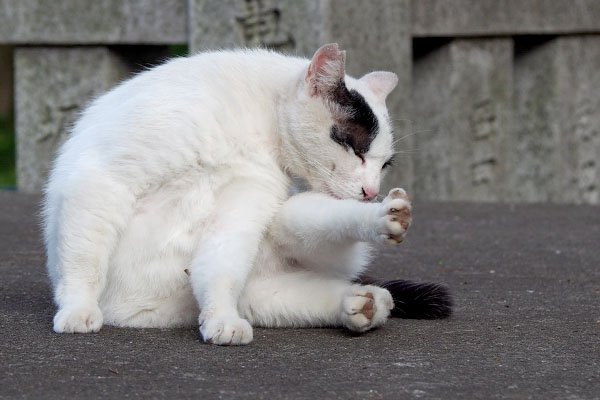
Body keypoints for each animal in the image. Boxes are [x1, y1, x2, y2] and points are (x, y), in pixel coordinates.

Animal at [43, 43, 450, 344]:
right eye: (355, 147)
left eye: (384, 165)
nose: (371, 190)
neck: (256, 121)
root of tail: (152, 314)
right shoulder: (102, 179)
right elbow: (84, 258)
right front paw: (78, 308)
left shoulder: (246, 199)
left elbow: (220, 267)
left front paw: (221, 317)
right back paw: (362, 298)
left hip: (287, 226)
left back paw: (373, 264)